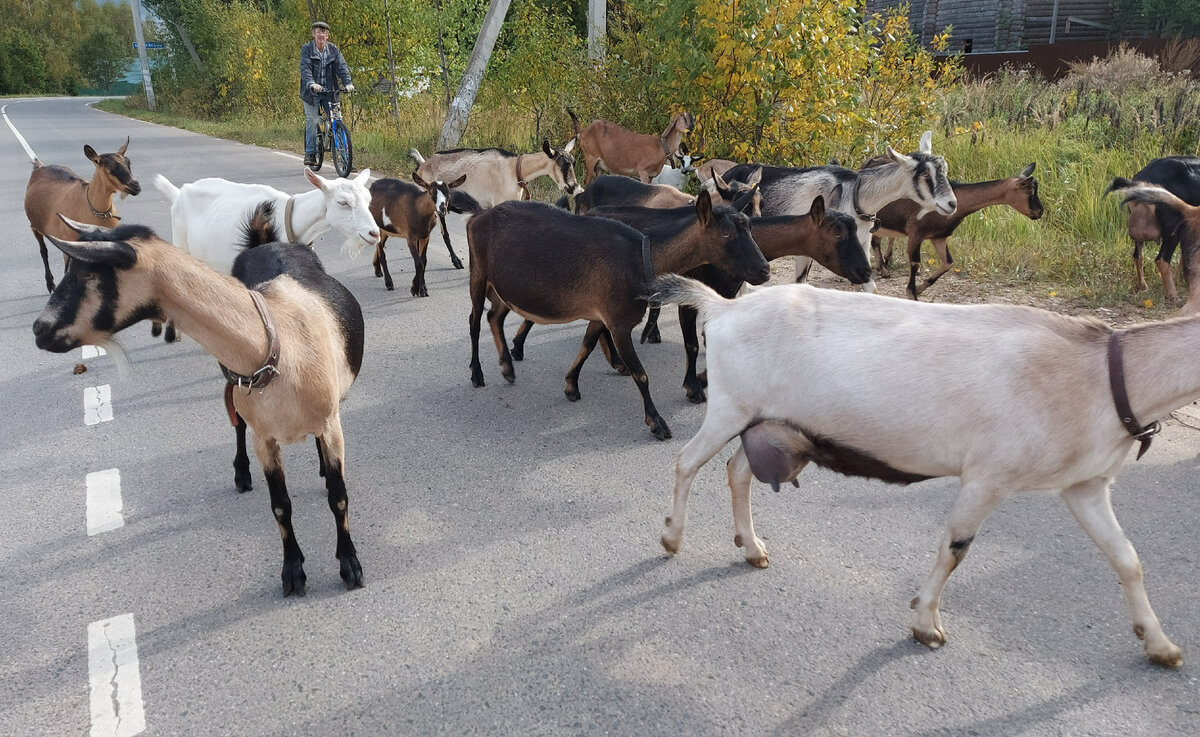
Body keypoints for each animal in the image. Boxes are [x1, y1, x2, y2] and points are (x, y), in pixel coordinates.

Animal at [24, 137, 139, 292]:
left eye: (128, 163)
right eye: (109, 167)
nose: (135, 186)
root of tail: (39, 166)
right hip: (35, 226)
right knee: (44, 251)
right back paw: (50, 284)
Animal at [568, 109, 696, 186]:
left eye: (693, 118)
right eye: (683, 117)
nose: (691, 128)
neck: (660, 148)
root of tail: (582, 132)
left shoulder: (651, 175)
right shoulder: (643, 170)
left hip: (599, 165)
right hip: (590, 155)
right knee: (586, 182)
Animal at [657, 272, 1190, 672]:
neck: (1100, 372)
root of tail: (723, 307)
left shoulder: (1085, 485)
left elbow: (1127, 558)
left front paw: (1160, 644)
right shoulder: (988, 476)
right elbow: (955, 548)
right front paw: (926, 625)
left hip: (767, 422)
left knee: (737, 470)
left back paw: (751, 548)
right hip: (730, 406)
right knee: (687, 462)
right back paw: (672, 538)